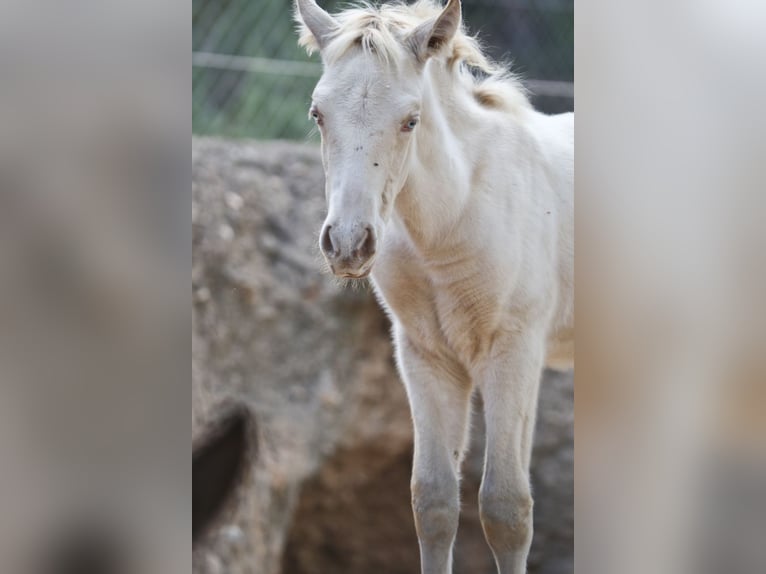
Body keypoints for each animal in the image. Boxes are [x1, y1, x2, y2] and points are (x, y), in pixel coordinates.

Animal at [296, 2, 572, 572]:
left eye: (411, 120)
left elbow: (507, 508)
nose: (348, 244)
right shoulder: (424, 356)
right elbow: (434, 500)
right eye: (317, 114)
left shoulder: (513, 352)